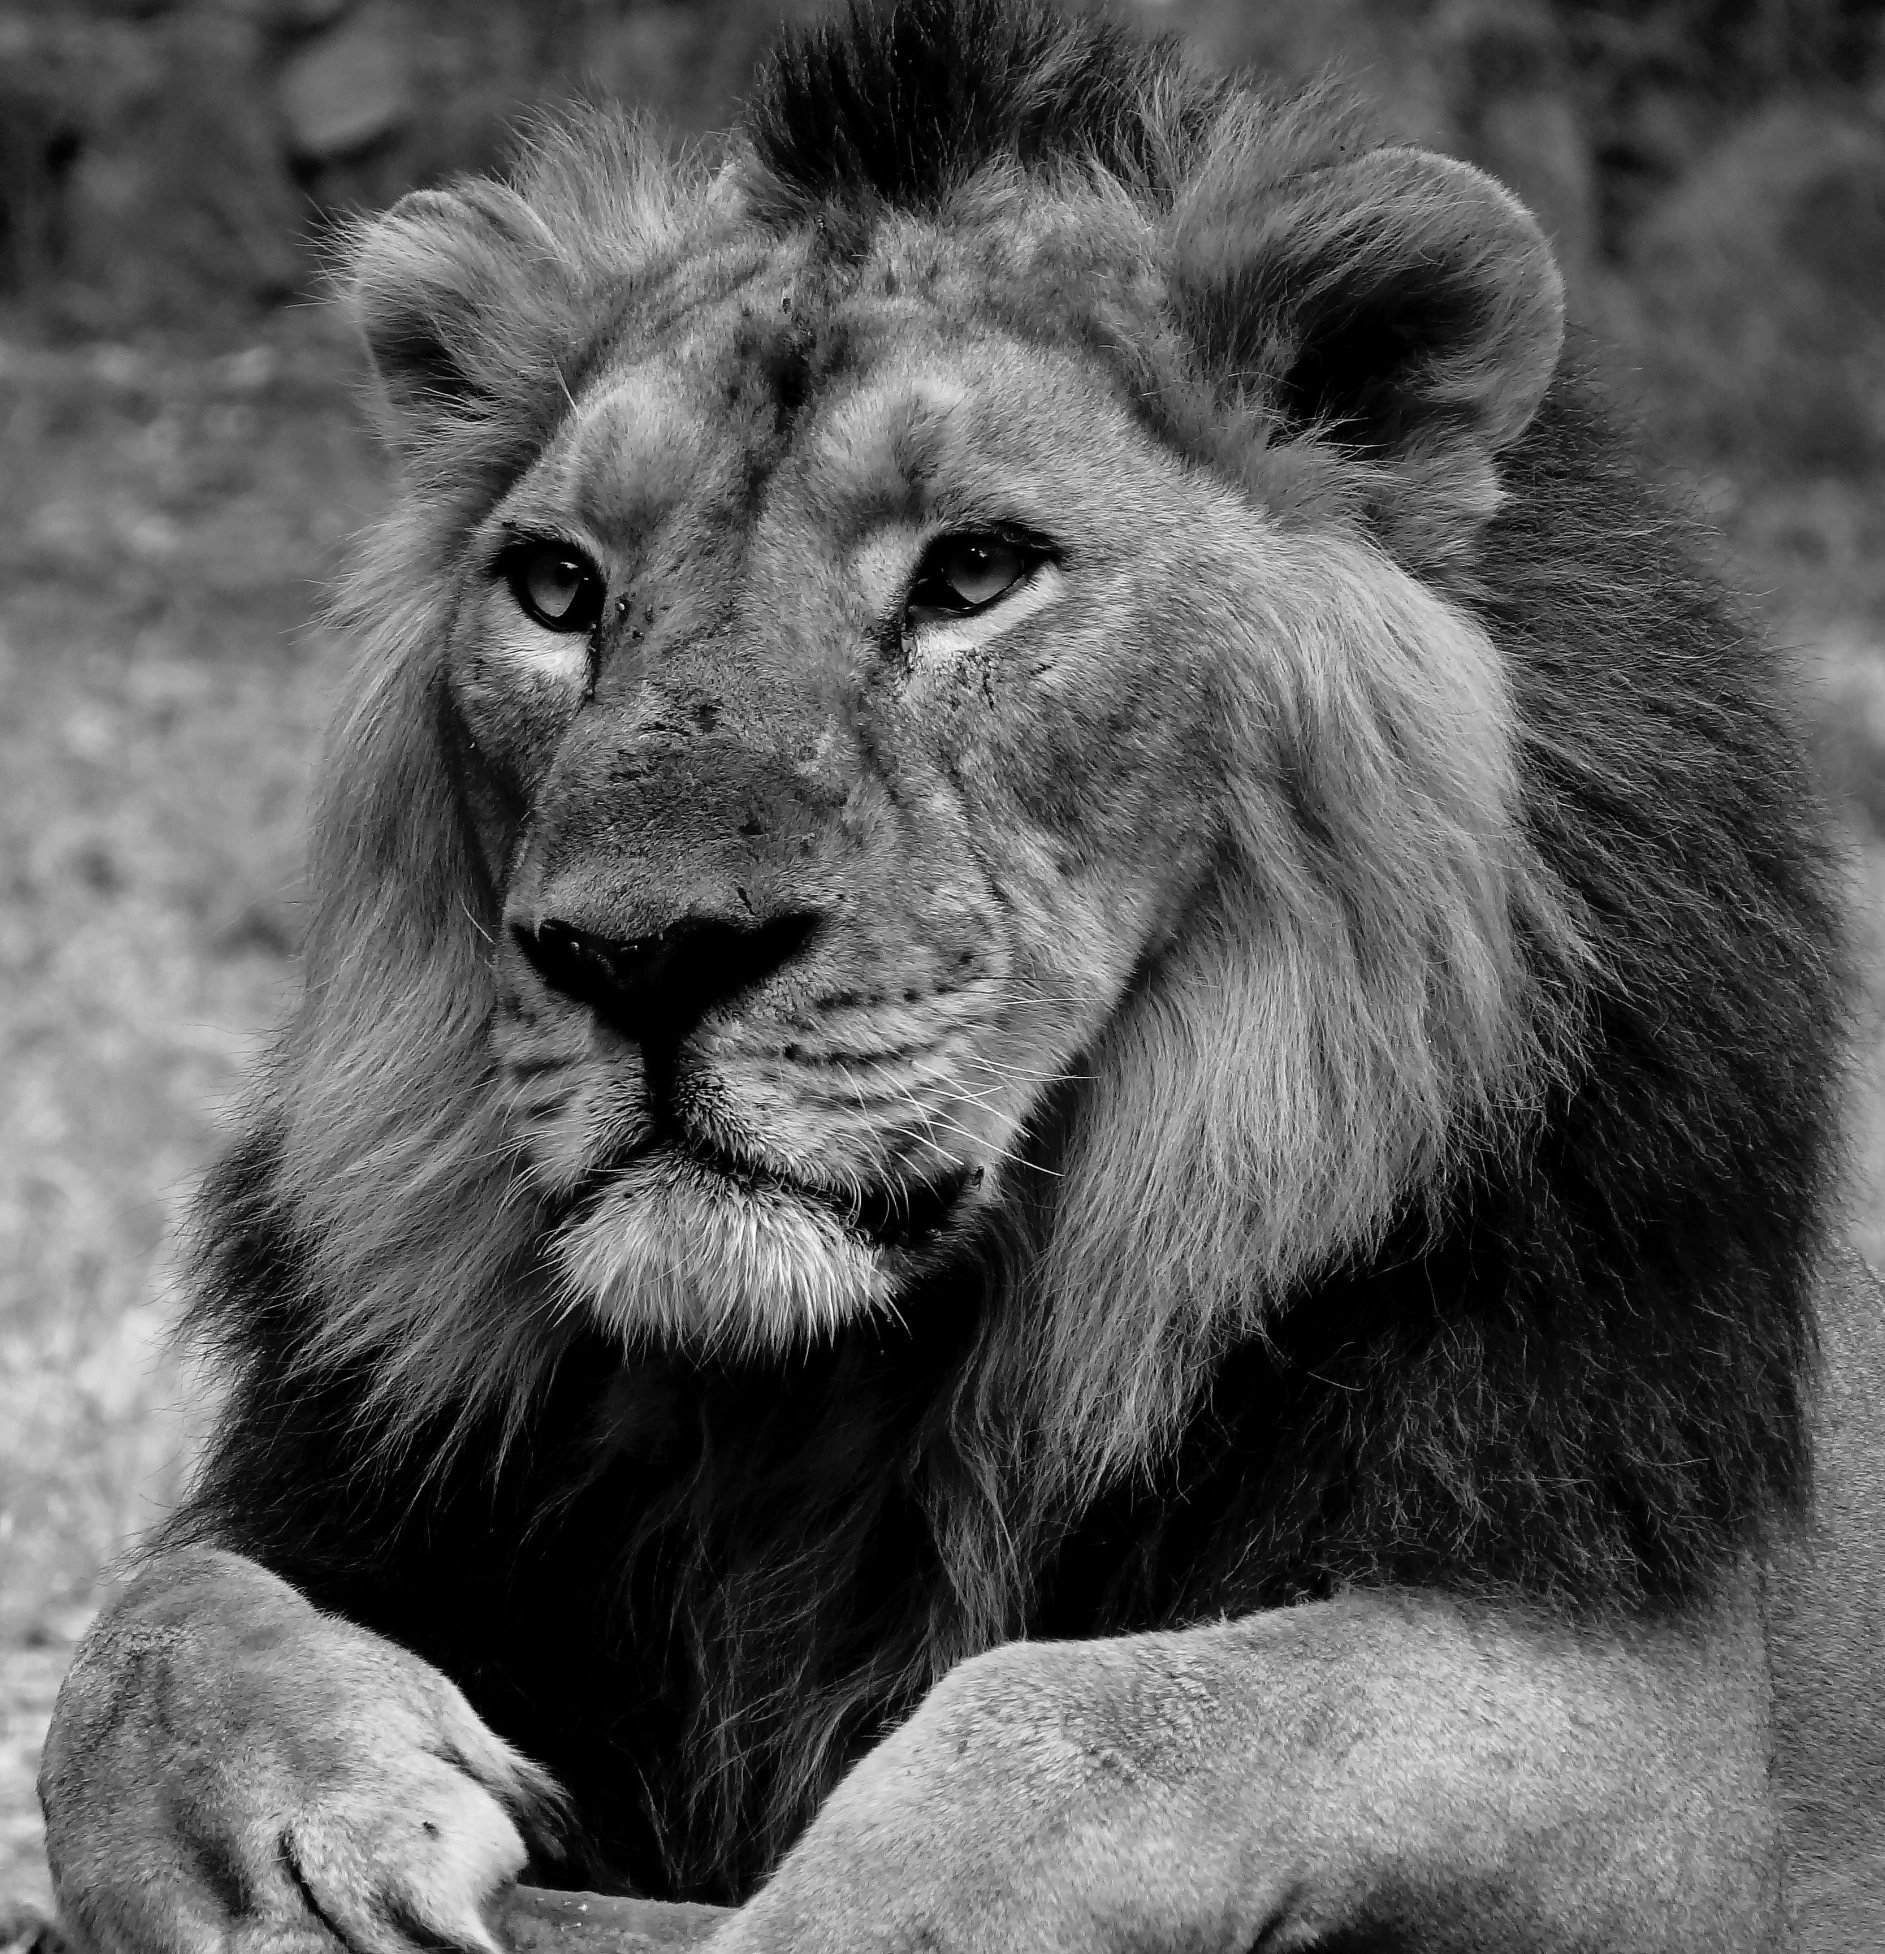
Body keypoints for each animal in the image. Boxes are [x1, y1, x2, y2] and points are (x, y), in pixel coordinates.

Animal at [33, 0, 1883, 1946]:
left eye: (976, 570)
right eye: (555, 589)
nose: (638, 951)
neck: (831, 1425)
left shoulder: (1653, 1719)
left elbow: (1108, 1707)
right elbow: (138, 1634)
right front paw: (280, 1844)